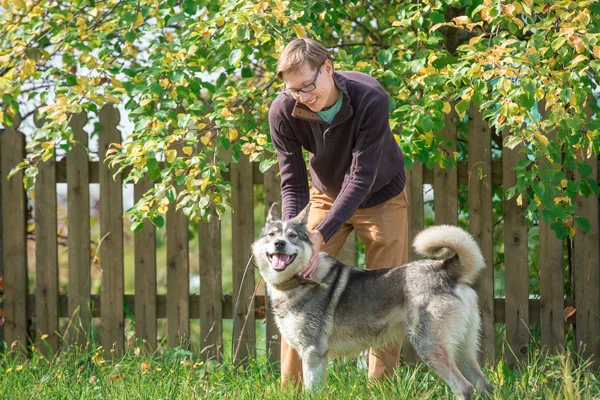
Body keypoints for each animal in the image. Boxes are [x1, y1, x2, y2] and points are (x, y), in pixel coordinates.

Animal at [252, 205, 492, 398]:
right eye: (271, 234)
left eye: (293, 236)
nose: (279, 243)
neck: (298, 279)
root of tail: (445, 268)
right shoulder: (318, 357)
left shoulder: (313, 352)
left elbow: (311, 391)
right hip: (461, 350)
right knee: (483, 384)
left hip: (429, 347)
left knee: (464, 387)